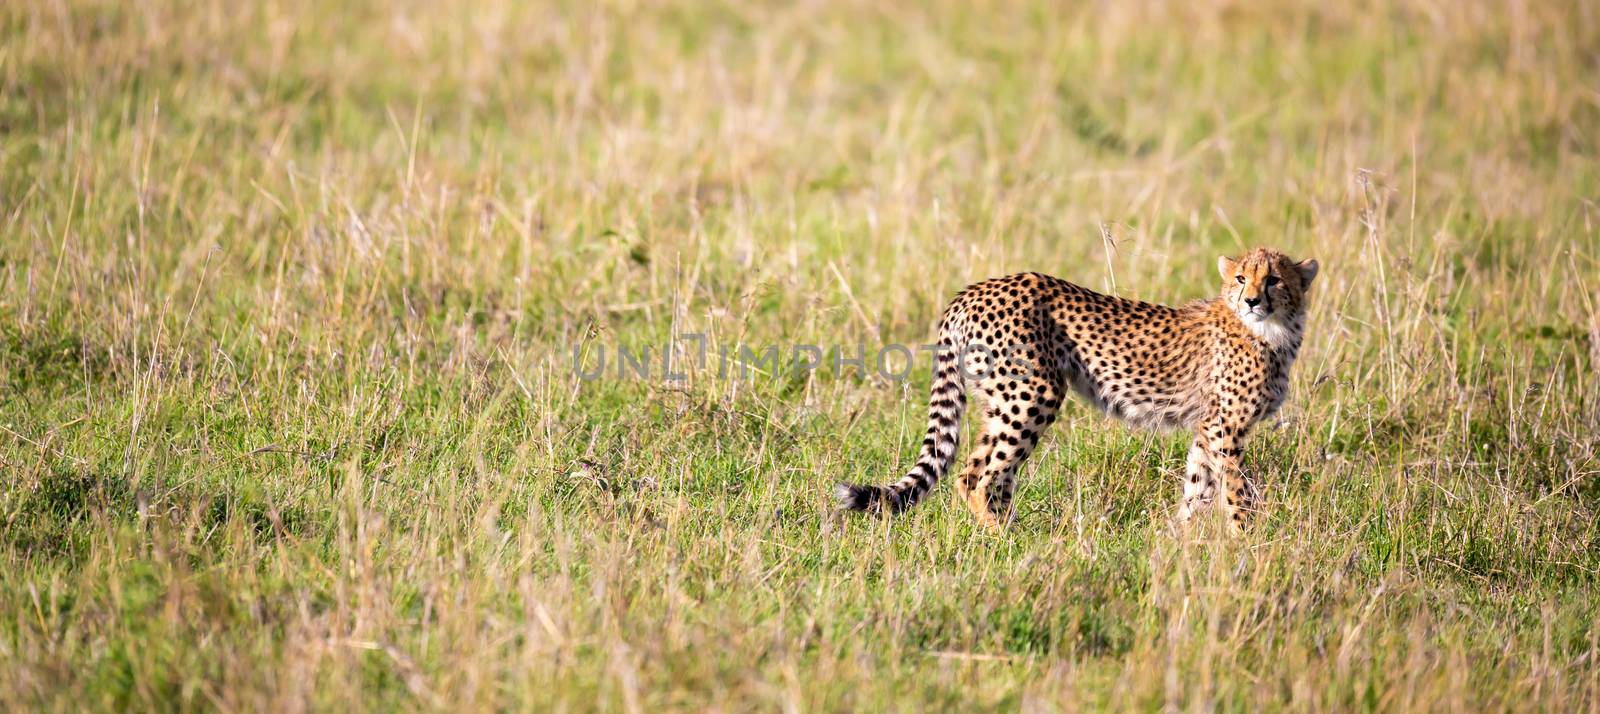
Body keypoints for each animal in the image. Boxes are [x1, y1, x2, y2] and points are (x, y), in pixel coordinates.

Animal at [832, 248, 1318, 531]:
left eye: (1274, 280)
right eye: (1241, 279)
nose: (1252, 300)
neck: (1274, 331)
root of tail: (976, 288)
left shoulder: (1207, 428)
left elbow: (1199, 487)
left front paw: (1178, 540)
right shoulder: (1225, 427)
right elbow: (1237, 490)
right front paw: (1246, 544)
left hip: (1001, 399)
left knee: (976, 470)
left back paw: (1011, 532)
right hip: (1034, 393)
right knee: (984, 476)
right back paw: (1005, 539)